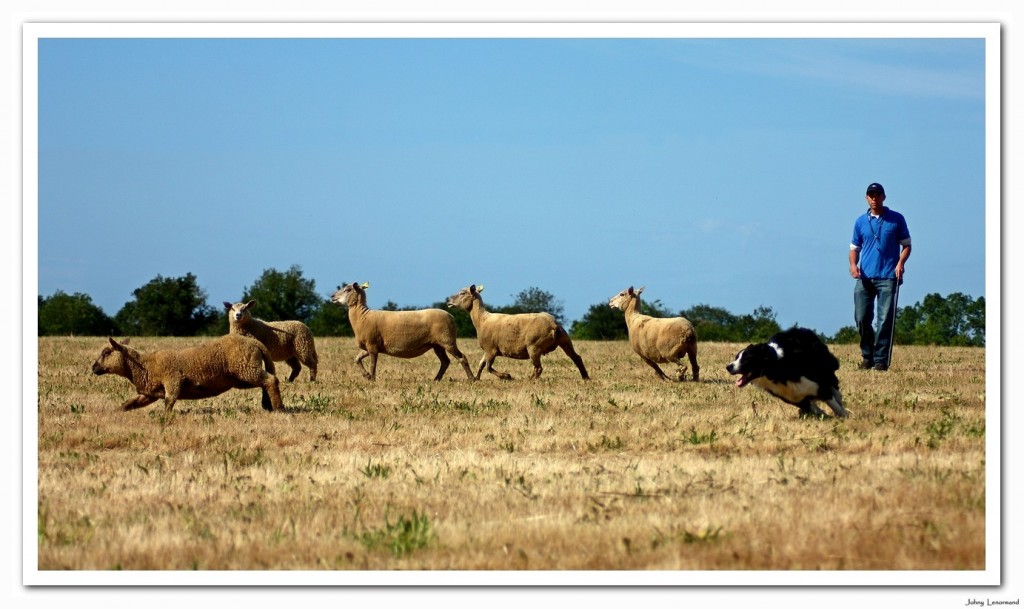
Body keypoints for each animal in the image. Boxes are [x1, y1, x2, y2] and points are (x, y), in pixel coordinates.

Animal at [90, 333, 284, 415]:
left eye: (106, 352)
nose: (93, 368)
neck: (144, 365)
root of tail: (256, 343)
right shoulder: (150, 392)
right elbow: (131, 403)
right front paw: (116, 412)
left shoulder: (173, 380)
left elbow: (169, 401)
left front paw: (165, 417)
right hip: (243, 375)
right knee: (266, 382)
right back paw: (268, 405)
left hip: (246, 368)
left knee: (271, 380)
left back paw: (278, 408)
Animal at [327, 282, 475, 380]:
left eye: (347, 289)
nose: (332, 296)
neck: (362, 316)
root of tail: (451, 316)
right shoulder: (369, 346)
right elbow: (357, 359)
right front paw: (366, 375)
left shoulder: (372, 345)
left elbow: (373, 364)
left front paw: (372, 378)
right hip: (437, 344)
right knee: (445, 362)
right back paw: (436, 379)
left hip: (447, 340)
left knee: (462, 358)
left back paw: (471, 378)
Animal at [444, 282, 589, 378]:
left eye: (462, 293)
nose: (448, 300)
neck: (482, 319)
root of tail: (553, 325)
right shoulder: (487, 349)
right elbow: (481, 365)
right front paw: (476, 379)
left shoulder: (491, 349)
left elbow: (488, 368)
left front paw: (506, 376)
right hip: (565, 340)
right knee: (577, 358)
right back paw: (585, 377)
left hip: (534, 346)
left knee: (538, 368)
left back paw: (530, 380)